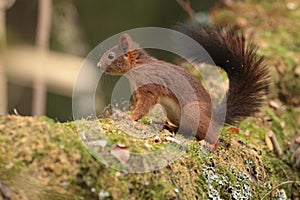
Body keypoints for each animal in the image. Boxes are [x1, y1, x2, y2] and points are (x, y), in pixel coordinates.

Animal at [98, 24, 270, 147]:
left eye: (111, 56)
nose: (99, 66)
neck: (137, 67)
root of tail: (215, 117)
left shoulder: (149, 86)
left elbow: (144, 105)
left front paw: (130, 117)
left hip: (192, 111)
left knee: (212, 136)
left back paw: (208, 144)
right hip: (175, 115)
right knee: (186, 130)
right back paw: (168, 126)